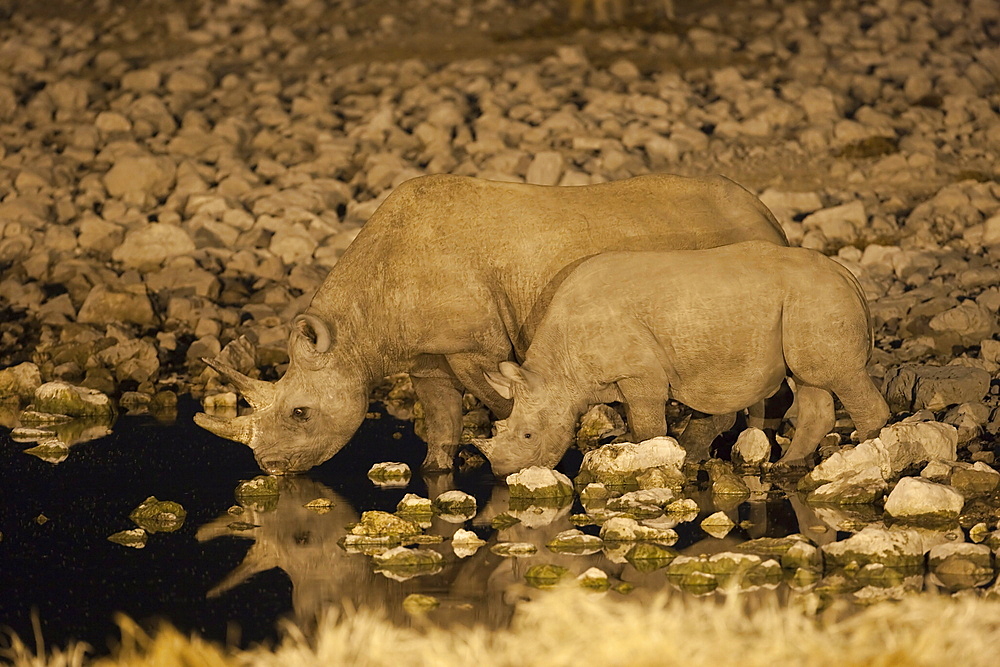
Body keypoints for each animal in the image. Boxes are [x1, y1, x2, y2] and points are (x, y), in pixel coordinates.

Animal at [195, 172, 788, 474]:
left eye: (300, 412)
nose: (270, 465)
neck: (359, 326)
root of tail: (770, 216)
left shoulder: (475, 345)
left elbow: (502, 402)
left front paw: (518, 456)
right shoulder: (426, 353)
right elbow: (440, 417)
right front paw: (438, 468)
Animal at [478, 243, 892, 478]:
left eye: (528, 435)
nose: (502, 471)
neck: (557, 372)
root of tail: (848, 276)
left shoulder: (640, 374)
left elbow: (648, 425)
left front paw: (650, 458)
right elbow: (637, 421)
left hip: (819, 299)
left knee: (837, 375)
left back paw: (868, 458)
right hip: (806, 300)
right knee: (810, 379)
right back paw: (786, 466)